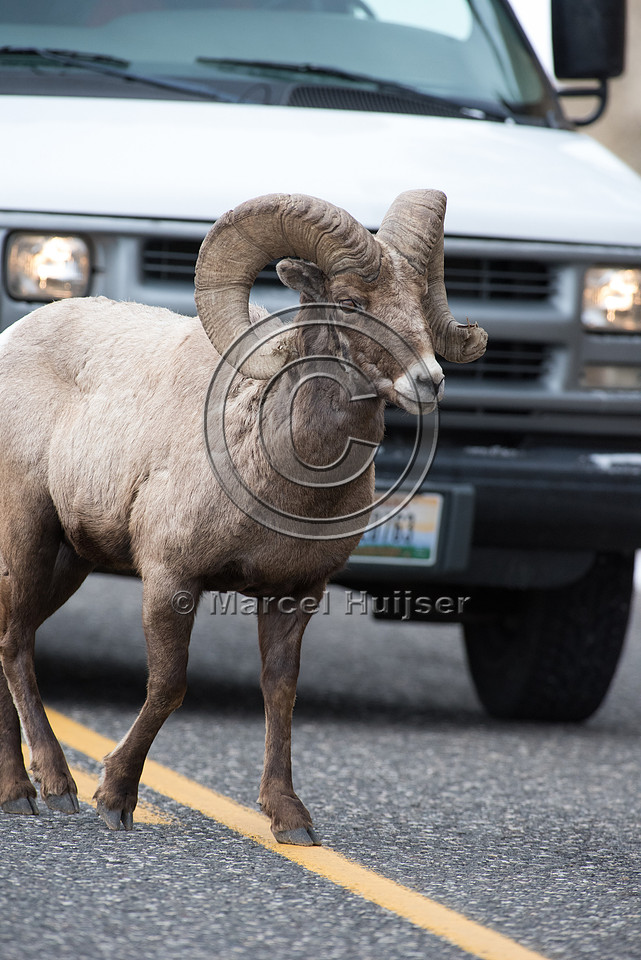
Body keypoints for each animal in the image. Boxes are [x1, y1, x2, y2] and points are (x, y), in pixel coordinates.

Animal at [0, 190, 487, 844]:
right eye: (351, 303)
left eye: (419, 298)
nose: (429, 381)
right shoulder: (171, 580)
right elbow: (168, 686)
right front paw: (116, 797)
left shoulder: (294, 595)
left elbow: (279, 692)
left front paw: (290, 819)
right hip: (28, 534)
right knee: (15, 644)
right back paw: (50, 788)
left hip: (69, 560)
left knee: (12, 637)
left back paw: (20, 792)